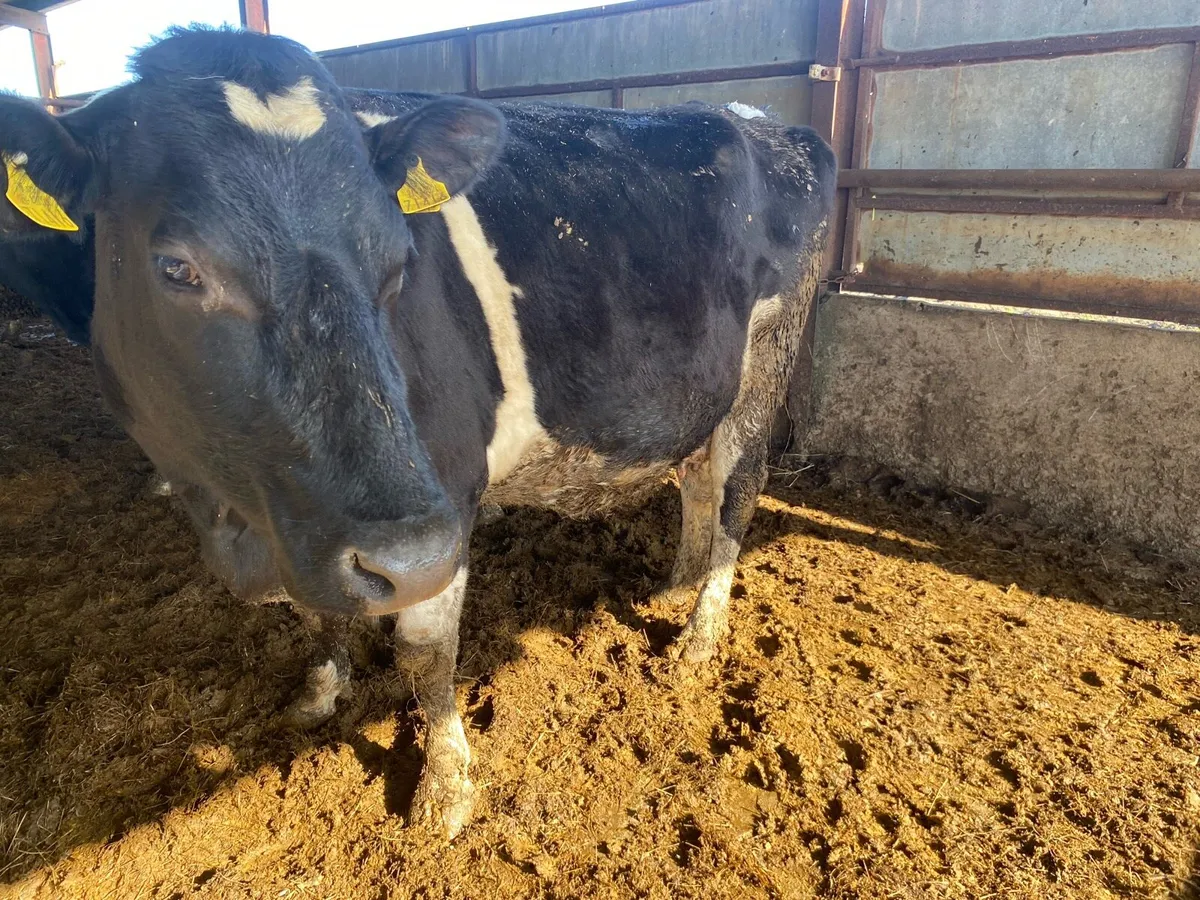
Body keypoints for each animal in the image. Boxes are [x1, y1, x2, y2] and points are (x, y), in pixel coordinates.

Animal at [0, 26, 836, 837]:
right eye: (176, 268)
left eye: (400, 258)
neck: (236, 520)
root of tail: (765, 123)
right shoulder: (311, 520)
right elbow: (318, 612)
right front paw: (321, 690)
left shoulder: (438, 504)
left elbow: (426, 655)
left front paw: (445, 787)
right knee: (696, 483)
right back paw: (675, 584)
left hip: (766, 364)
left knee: (736, 494)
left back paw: (699, 635)